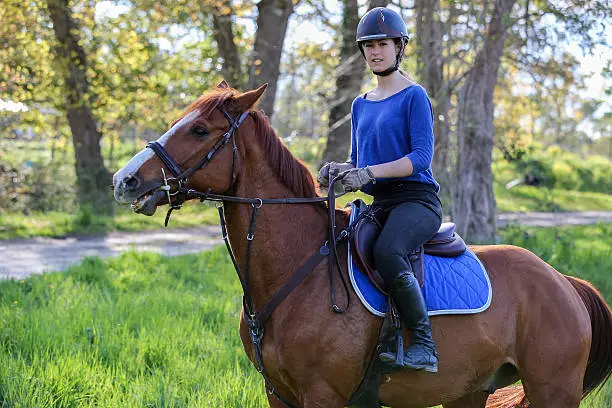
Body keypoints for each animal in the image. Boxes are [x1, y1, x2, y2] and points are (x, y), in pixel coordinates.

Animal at [112, 83, 608, 408]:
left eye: (198, 130)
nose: (124, 180)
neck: (299, 268)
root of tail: (563, 282)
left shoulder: (322, 395)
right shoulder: (279, 394)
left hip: (553, 391)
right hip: (470, 392)